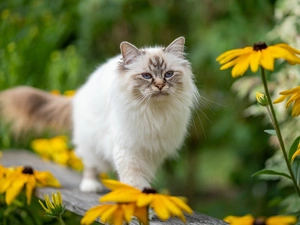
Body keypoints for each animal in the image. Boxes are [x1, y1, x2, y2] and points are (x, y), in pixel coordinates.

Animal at [0, 37, 199, 192]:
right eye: (147, 76)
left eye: (169, 74)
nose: (159, 85)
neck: (153, 113)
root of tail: (79, 94)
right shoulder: (128, 149)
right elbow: (133, 178)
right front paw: (138, 201)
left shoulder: (152, 151)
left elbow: (143, 176)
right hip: (91, 143)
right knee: (90, 165)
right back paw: (91, 186)